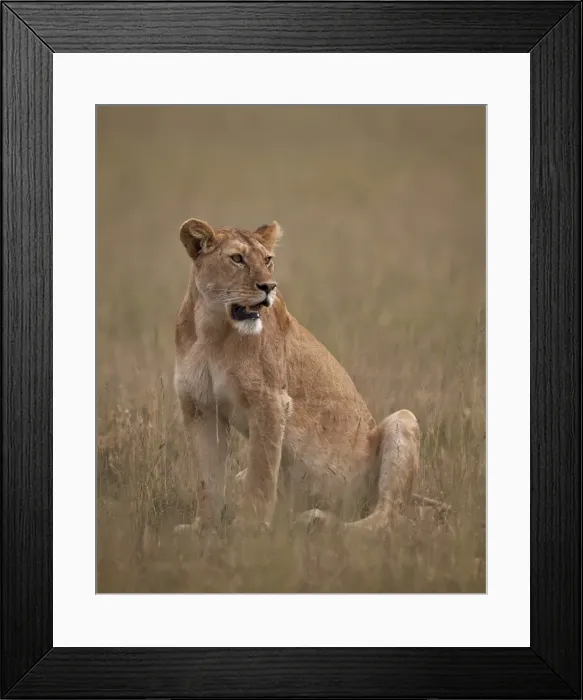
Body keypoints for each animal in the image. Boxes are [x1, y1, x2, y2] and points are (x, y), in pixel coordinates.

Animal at [173, 217, 446, 536]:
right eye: (237, 259)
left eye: (268, 260)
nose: (269, 287)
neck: (212, 329)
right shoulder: (200, 408)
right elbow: (208, 479)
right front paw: (202, 528)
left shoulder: (270, 401)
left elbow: (262, 471)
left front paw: (250, 527)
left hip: (403, 421)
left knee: (388, 516)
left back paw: (323, 524)